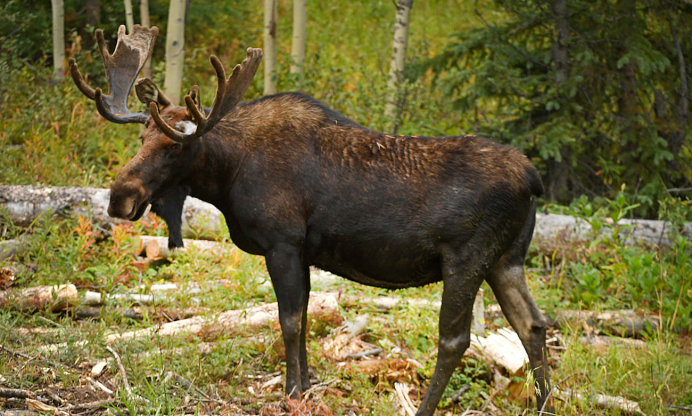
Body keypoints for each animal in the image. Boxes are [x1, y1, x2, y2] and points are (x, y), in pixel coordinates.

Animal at [69, 25, 553, 415]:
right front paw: (304, 387)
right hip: (506, 259)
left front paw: (291, 394)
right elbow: (302, 320)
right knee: (533, 324)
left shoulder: (282, 242)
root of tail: (534, 180)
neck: (227, 175)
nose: (120, 197)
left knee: (455, 340)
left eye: (174, 146)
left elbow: (287, 321)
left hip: (466, 260)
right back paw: (545, 404)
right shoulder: (302, 251)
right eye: (142, 136)